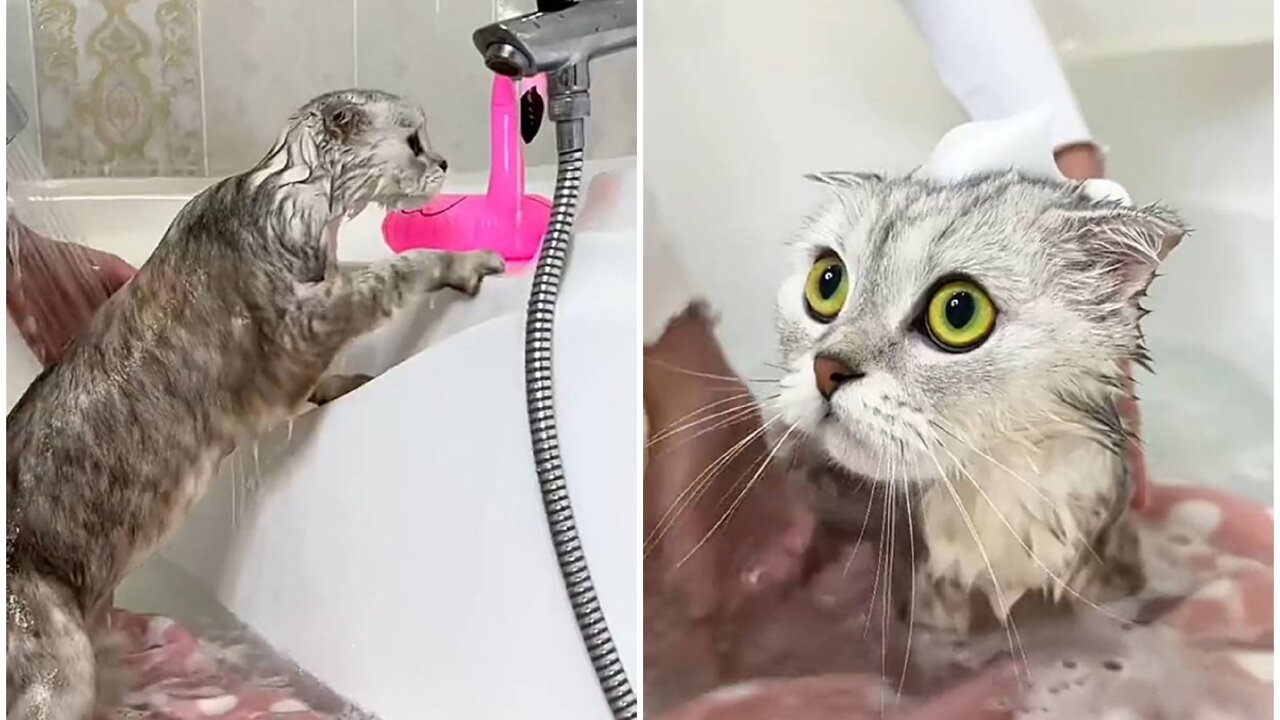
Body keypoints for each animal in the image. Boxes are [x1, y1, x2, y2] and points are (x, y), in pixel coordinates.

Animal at [7, 87, 504, 712]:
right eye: (414, 140)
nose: (442, 163)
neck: (289, 196)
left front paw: (348, 382)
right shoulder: (297, 328)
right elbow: (393, 273)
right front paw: (460, 261)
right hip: (55, 657)